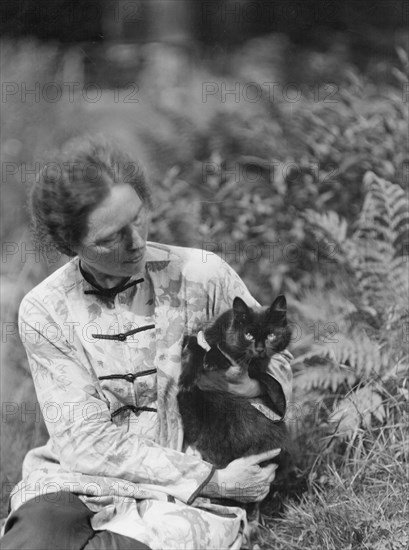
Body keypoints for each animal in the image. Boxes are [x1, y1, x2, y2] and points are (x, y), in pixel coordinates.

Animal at [177, 296, 292, 476]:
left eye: (271, 335)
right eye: (249, 335)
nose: (260, 349)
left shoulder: (256, 366)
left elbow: (230, 354)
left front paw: (213, 358)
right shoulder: (198, 337)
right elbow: (195, 349)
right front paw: (187, 380)